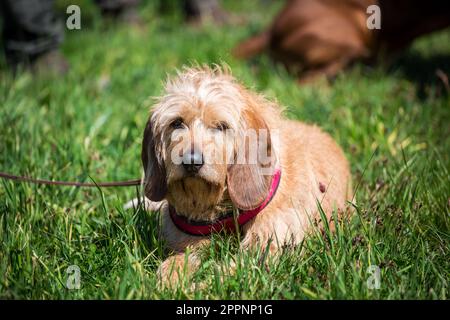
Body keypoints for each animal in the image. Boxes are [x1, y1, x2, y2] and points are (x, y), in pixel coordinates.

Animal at [141, 66, 352, 286]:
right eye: (177, 123)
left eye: (222, 126)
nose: (192, 162)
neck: (227, 213)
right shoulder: (192, 243)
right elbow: (181, 259)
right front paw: (168, 277)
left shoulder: (265, 253)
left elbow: (227, 273)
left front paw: (195, 287)